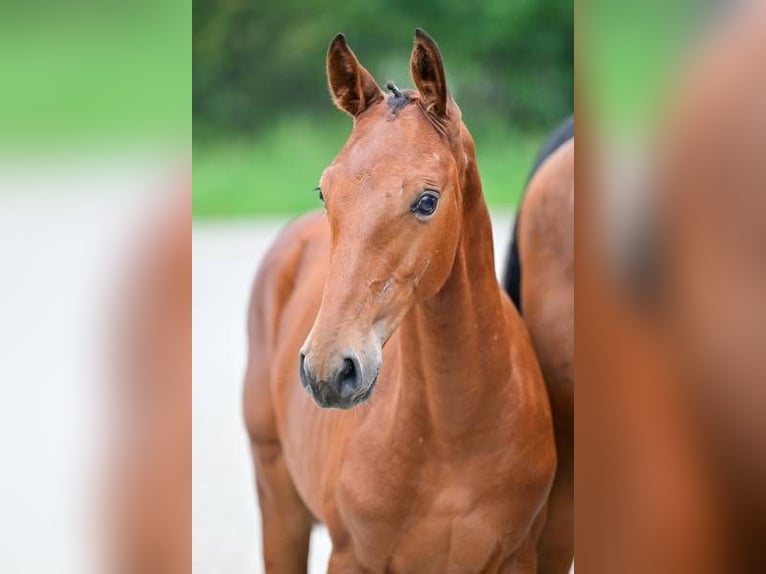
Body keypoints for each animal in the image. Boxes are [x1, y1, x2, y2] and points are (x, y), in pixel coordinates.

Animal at [246, 31, 560, 574]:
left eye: (427, 201)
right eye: (325, 192)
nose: (329, 369)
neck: (453, 439)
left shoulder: (518, 556)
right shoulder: (351, 557)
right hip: (278, 503)